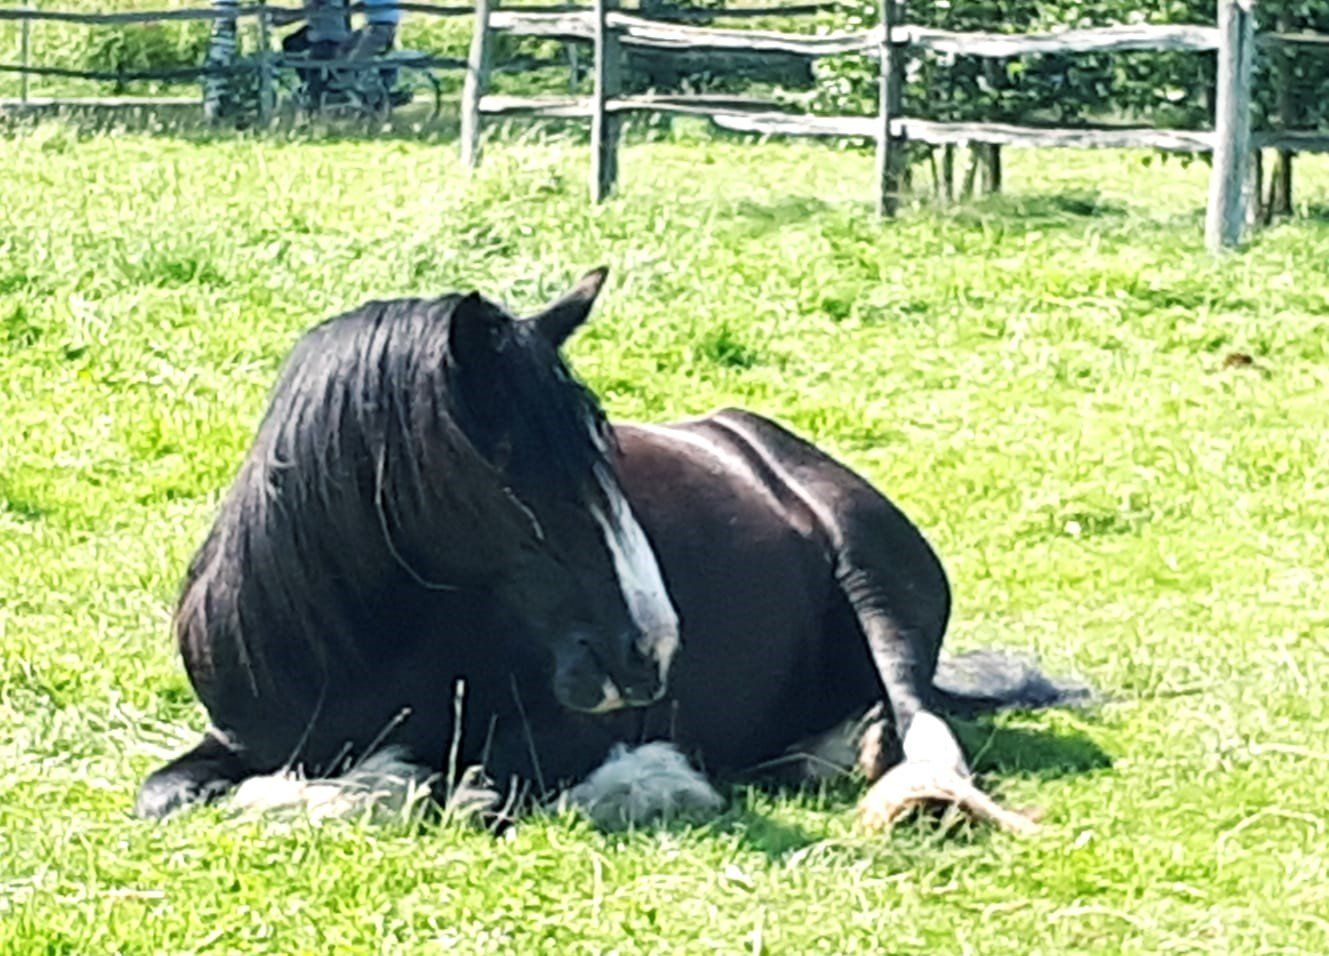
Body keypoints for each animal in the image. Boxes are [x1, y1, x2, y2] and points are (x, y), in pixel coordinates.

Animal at [136, 268, 1084, 831]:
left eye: (603, 453)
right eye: (511, 472)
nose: (651, 650)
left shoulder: (557, 733)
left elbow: (461, 795)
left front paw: (649, 780)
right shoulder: (239, 737)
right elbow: (168, 795)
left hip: (874, 585)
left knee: (923, 726)